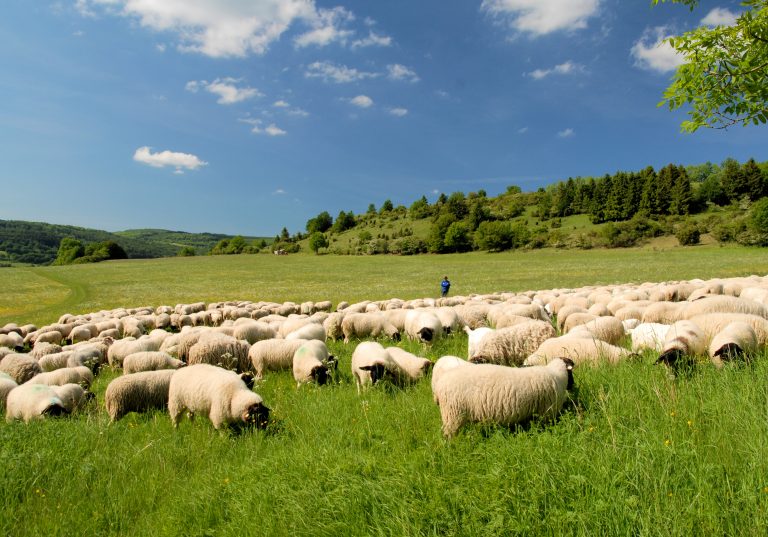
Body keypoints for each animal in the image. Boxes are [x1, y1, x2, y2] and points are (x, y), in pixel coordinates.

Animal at [432, 356, 576, 436]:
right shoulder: (547, 411)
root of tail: (439, 386)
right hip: (453, 413)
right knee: (448, 433)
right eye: (571, 373)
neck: (557, 374)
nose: (573, 386)